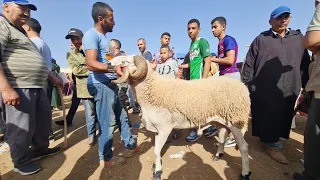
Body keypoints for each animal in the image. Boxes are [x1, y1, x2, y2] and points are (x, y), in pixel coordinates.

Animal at [110, 54, 252, 180]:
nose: (109, 64)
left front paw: (158, 172)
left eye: (126, 61)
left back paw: (245, 173)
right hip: (222, 121)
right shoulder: (157, 130)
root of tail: (243, 87)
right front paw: (156, 165)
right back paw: (218, 155)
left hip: (236, 121)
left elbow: (156, 150)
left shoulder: (164, 128)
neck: (153, 89)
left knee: (244, 147)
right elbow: (157, 150)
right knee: (222, 137)